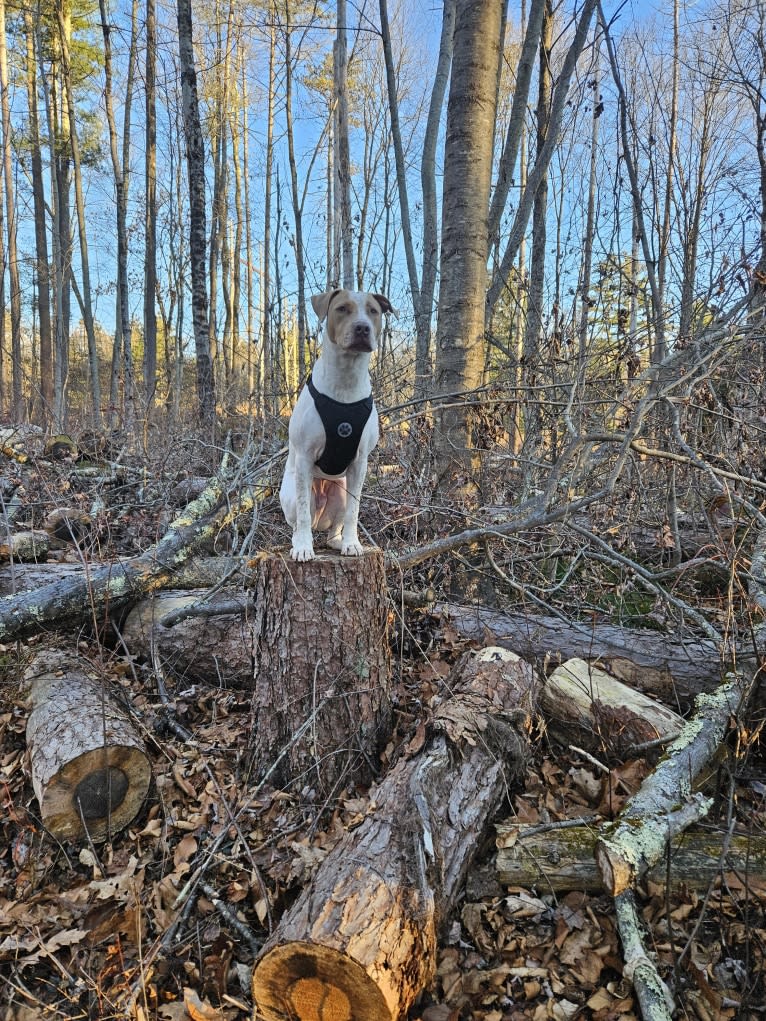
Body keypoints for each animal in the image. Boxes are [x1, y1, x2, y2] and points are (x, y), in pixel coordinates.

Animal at [279, 287, 392, 563]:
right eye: (342, 309)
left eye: (373, 311)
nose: (362, 328)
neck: (345, 378)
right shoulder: (305, 457)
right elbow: (302, 514)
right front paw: (303, 548)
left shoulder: (360, 463)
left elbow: (354, 510)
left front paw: (352, 543)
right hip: (295, 494)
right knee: (300, 520)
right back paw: (299, 541)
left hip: (340, 493)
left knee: (335, 526)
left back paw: (338, 541)